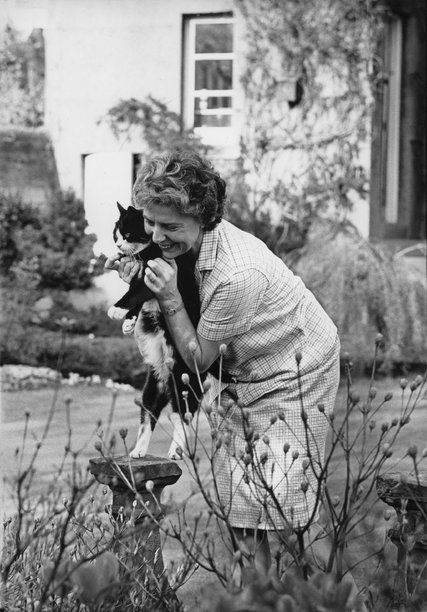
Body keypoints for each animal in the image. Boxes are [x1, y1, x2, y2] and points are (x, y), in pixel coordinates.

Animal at [107, 204, 227, 460]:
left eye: (127, 234)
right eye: (116, 235)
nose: (118, 246)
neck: (148, 251)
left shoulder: (154, 275)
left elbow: (135, 293)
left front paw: (116, 309)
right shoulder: (142, 274)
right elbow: (136, 296)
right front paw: (128, 322)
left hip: (184, 381)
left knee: (183, 416)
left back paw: (176, 451)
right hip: (151, 387)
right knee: (149, 415)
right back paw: (138, 450)